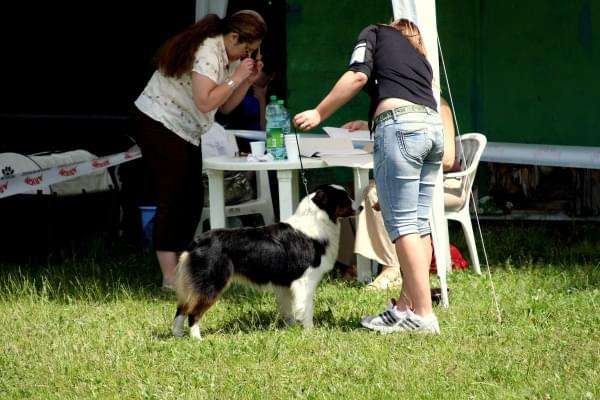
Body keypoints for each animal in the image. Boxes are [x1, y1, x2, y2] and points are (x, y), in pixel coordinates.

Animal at [171, 184, 354, 338]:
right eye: (344, 198)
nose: (359, 206)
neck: (317, 219)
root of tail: (196, 241)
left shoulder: (287, 284)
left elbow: (290, 308)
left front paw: (292, 327)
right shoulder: (305, 281)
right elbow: (306, 308)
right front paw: (309, 332)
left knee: (181, 307)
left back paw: (177, 334)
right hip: (211, 282)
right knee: (193, 312)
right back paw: (197, 339)